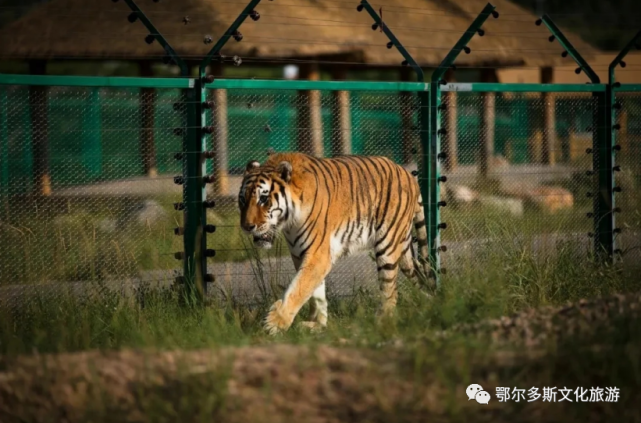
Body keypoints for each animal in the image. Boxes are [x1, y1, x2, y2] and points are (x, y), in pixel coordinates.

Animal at [238, 152, 432, 334]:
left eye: (263, 199)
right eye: (243, 200)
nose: (247, 227)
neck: (289, 223)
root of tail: (407, 174)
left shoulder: (318, 255)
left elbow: (298, 288)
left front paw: (274, 323)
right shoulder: (301, 254)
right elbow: (314, 292)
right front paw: (316, 324)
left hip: (388, 246)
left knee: (390, 290)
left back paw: (380, 321)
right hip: (404, 249)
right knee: (419, 274)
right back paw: (427, 303)